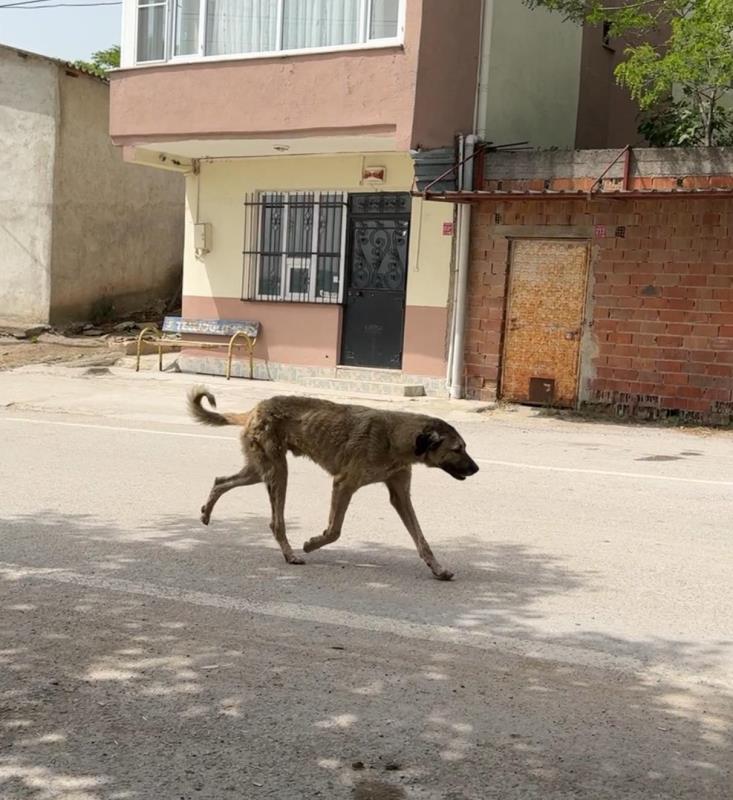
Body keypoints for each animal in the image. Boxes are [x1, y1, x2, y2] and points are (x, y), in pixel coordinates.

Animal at [186, 386, 478, 580]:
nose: (476, 469)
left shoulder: (400, 495)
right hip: (277, 472)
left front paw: (437, 568)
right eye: (457, 449)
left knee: (221, 481)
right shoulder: (343, 484)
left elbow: (421, 538)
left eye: (465, 447)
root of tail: (255, 408)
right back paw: (291, 554)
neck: (394, 436)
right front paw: (311, 544)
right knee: (275, 522)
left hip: (260, 470)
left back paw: (206, 512)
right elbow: (334, 531)